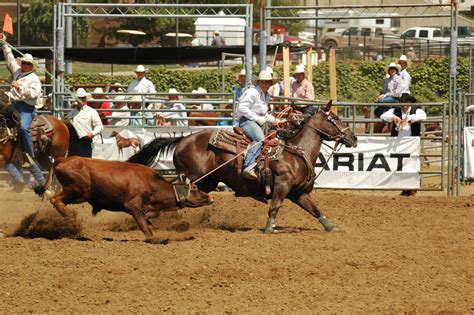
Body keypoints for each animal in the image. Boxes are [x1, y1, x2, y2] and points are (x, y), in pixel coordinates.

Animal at [128, 101, 358, 235]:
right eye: (335, 118)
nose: (354, 137)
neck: (295, 152)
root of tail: (183, 139)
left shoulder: (298, 192)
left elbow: (315, 209)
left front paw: (332, 227)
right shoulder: (282, 185)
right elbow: (274, 206)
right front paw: (269, 229)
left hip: (207, 182)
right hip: (193, 178)